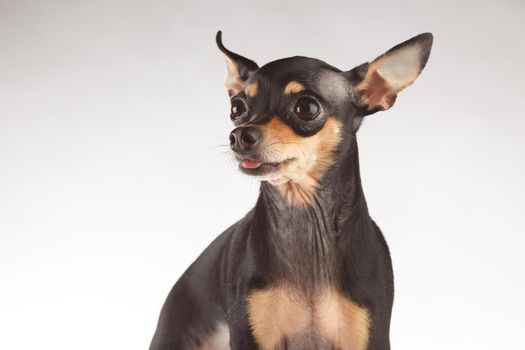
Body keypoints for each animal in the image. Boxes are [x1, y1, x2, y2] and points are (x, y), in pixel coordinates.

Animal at [149, 30, 432, 350]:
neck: (305, 217)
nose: (239, 136)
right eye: (237, 107)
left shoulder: (370, 337)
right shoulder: (249, 336)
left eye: (306, 108)